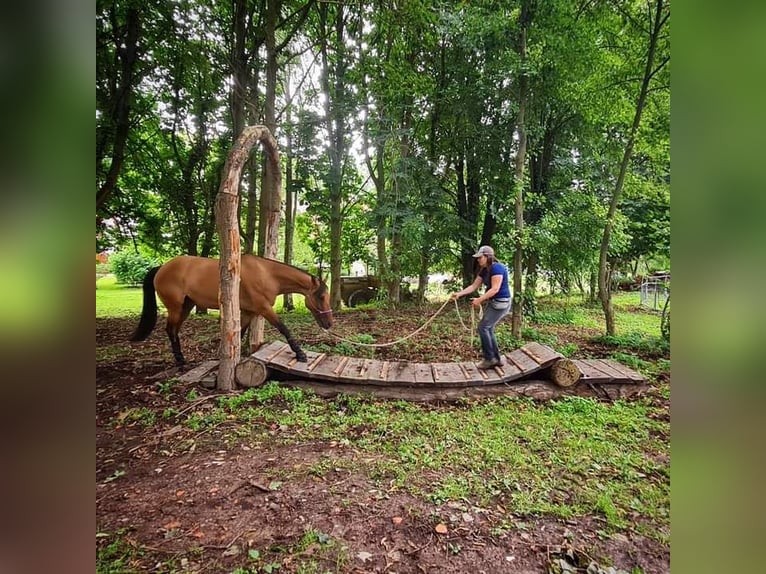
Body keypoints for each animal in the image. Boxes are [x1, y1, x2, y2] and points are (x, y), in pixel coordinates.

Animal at [130, 255, 333, 366]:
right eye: (322, 297)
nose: (329, 323)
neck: (266, 274)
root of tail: (161, 268)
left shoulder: (249, 312)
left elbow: (240, 333)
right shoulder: (264, 308)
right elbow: (284, 328)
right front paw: (301, 354)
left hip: (186, 306)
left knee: (174, 330)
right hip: (175, 307)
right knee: (170, 330)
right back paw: (180, 361)